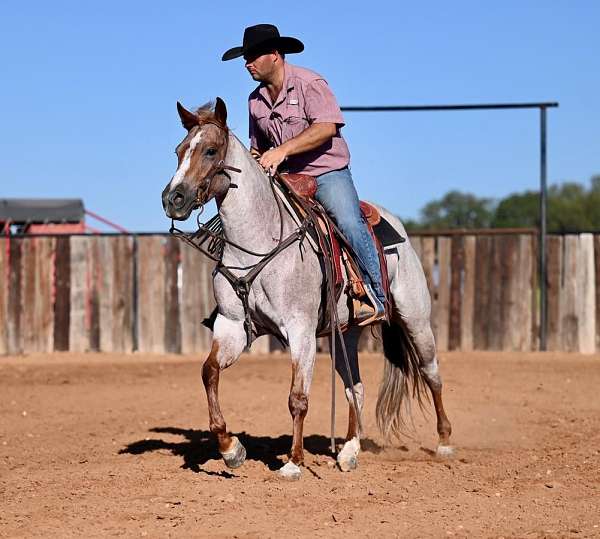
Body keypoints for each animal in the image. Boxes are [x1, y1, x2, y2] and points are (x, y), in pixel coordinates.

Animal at [162, 97, 452, 480]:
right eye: (179, 150)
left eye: (210, 150)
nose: (173, 198)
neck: (259, 239)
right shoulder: (232, 326)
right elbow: (209, 372)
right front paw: (230, 448)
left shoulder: (299, 328)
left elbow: (297, 398)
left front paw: (293, 462)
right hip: (346, 335)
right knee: (355, 388)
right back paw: (349, 451)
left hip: (416, 320)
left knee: (432, 373)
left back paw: (444, 443)